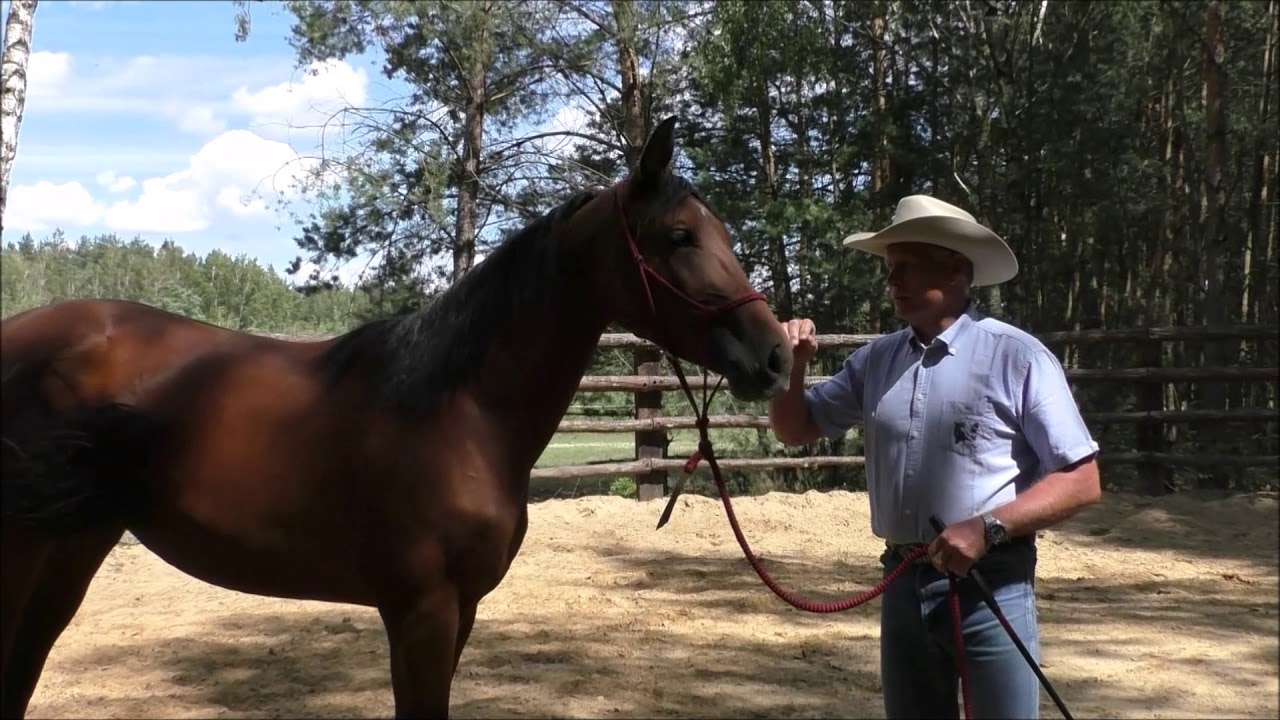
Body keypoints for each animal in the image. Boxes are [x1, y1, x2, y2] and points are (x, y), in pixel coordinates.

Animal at [0, 115, 793, 718]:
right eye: (680, 236)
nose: (777, 355)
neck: (460, 412)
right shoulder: (422, 611)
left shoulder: (459, 610)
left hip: (72, 550)